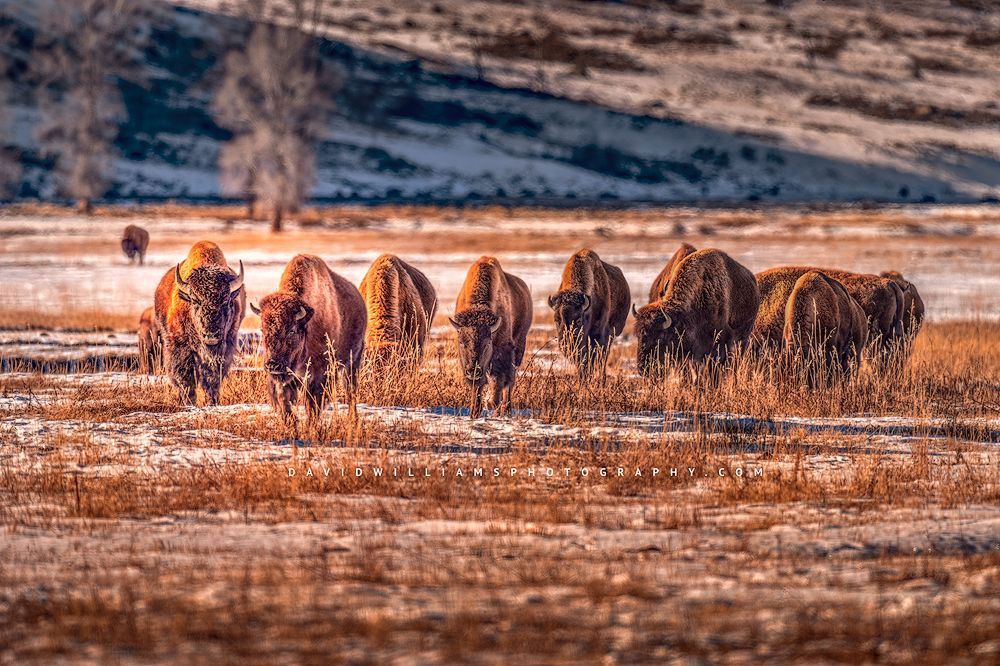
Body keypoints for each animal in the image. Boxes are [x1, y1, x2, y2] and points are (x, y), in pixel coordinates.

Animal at [153, 241, 245, 405]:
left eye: (226, 302)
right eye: (195, 301)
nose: (211, 336)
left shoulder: (225, 347)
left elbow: (213, 377)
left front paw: (212, 401)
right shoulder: (180, 347)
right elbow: (185, 376)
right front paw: (189, 401)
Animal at [251, 254, 366, 421]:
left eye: (291, 330)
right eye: (262, 329)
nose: (272, 365)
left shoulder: (320, 373)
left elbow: (313, 404)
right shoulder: (288, 378)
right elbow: (284, 400)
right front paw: (292, 422)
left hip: (353, 361)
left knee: (351, 391)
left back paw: (353, 418)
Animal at [451, 256, 532, 417]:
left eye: (487, 343)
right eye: (462, 342)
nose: (473, 370)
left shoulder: (502, 351)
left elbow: (499, 380)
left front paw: (492, 405)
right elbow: (477, 387)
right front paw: (474, 412)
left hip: (519, 346)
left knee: (510, 382)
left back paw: (505, 410)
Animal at [548, 248, 629, 376]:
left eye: (578, 320)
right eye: (556, 320)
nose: (566, 345)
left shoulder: (598, 337)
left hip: (612, 334)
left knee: (602, 359)